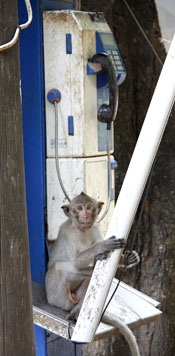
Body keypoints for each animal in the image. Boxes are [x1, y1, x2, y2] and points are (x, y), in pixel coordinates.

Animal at [45, 193, 141, 356]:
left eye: (89, 207)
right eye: (79, 208)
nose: (85, 215)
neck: (82, 229)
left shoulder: (95, 228)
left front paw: (128, 258)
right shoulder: (68, 232)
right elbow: (75, 261)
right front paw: (101, 247)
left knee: (89, 279)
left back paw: (77, 311)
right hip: (57, 297)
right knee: (61, 267)